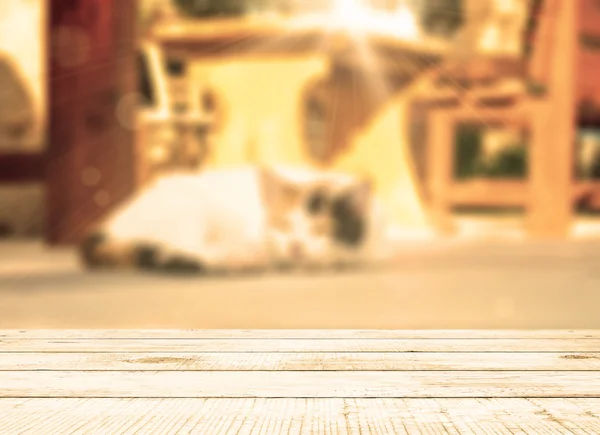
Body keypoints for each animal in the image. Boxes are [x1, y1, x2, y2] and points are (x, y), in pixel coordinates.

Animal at [78, 165, 394, 274]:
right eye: (284, 225)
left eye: (319, 231)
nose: (296, 246)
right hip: (192, 210)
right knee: (184, 249)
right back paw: (239, 258)